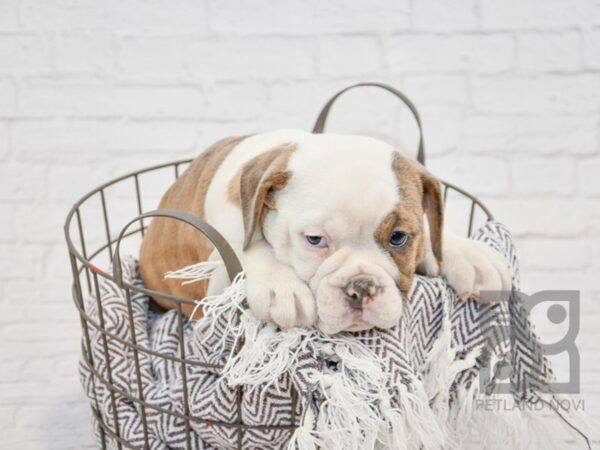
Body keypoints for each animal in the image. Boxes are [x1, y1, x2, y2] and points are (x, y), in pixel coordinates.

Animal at [142, 130, 510, 334]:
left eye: (399, 238)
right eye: (315, 240)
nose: (361, 286)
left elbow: (437, 233)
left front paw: (470, 255)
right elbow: (249, 248)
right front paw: (280, 286)